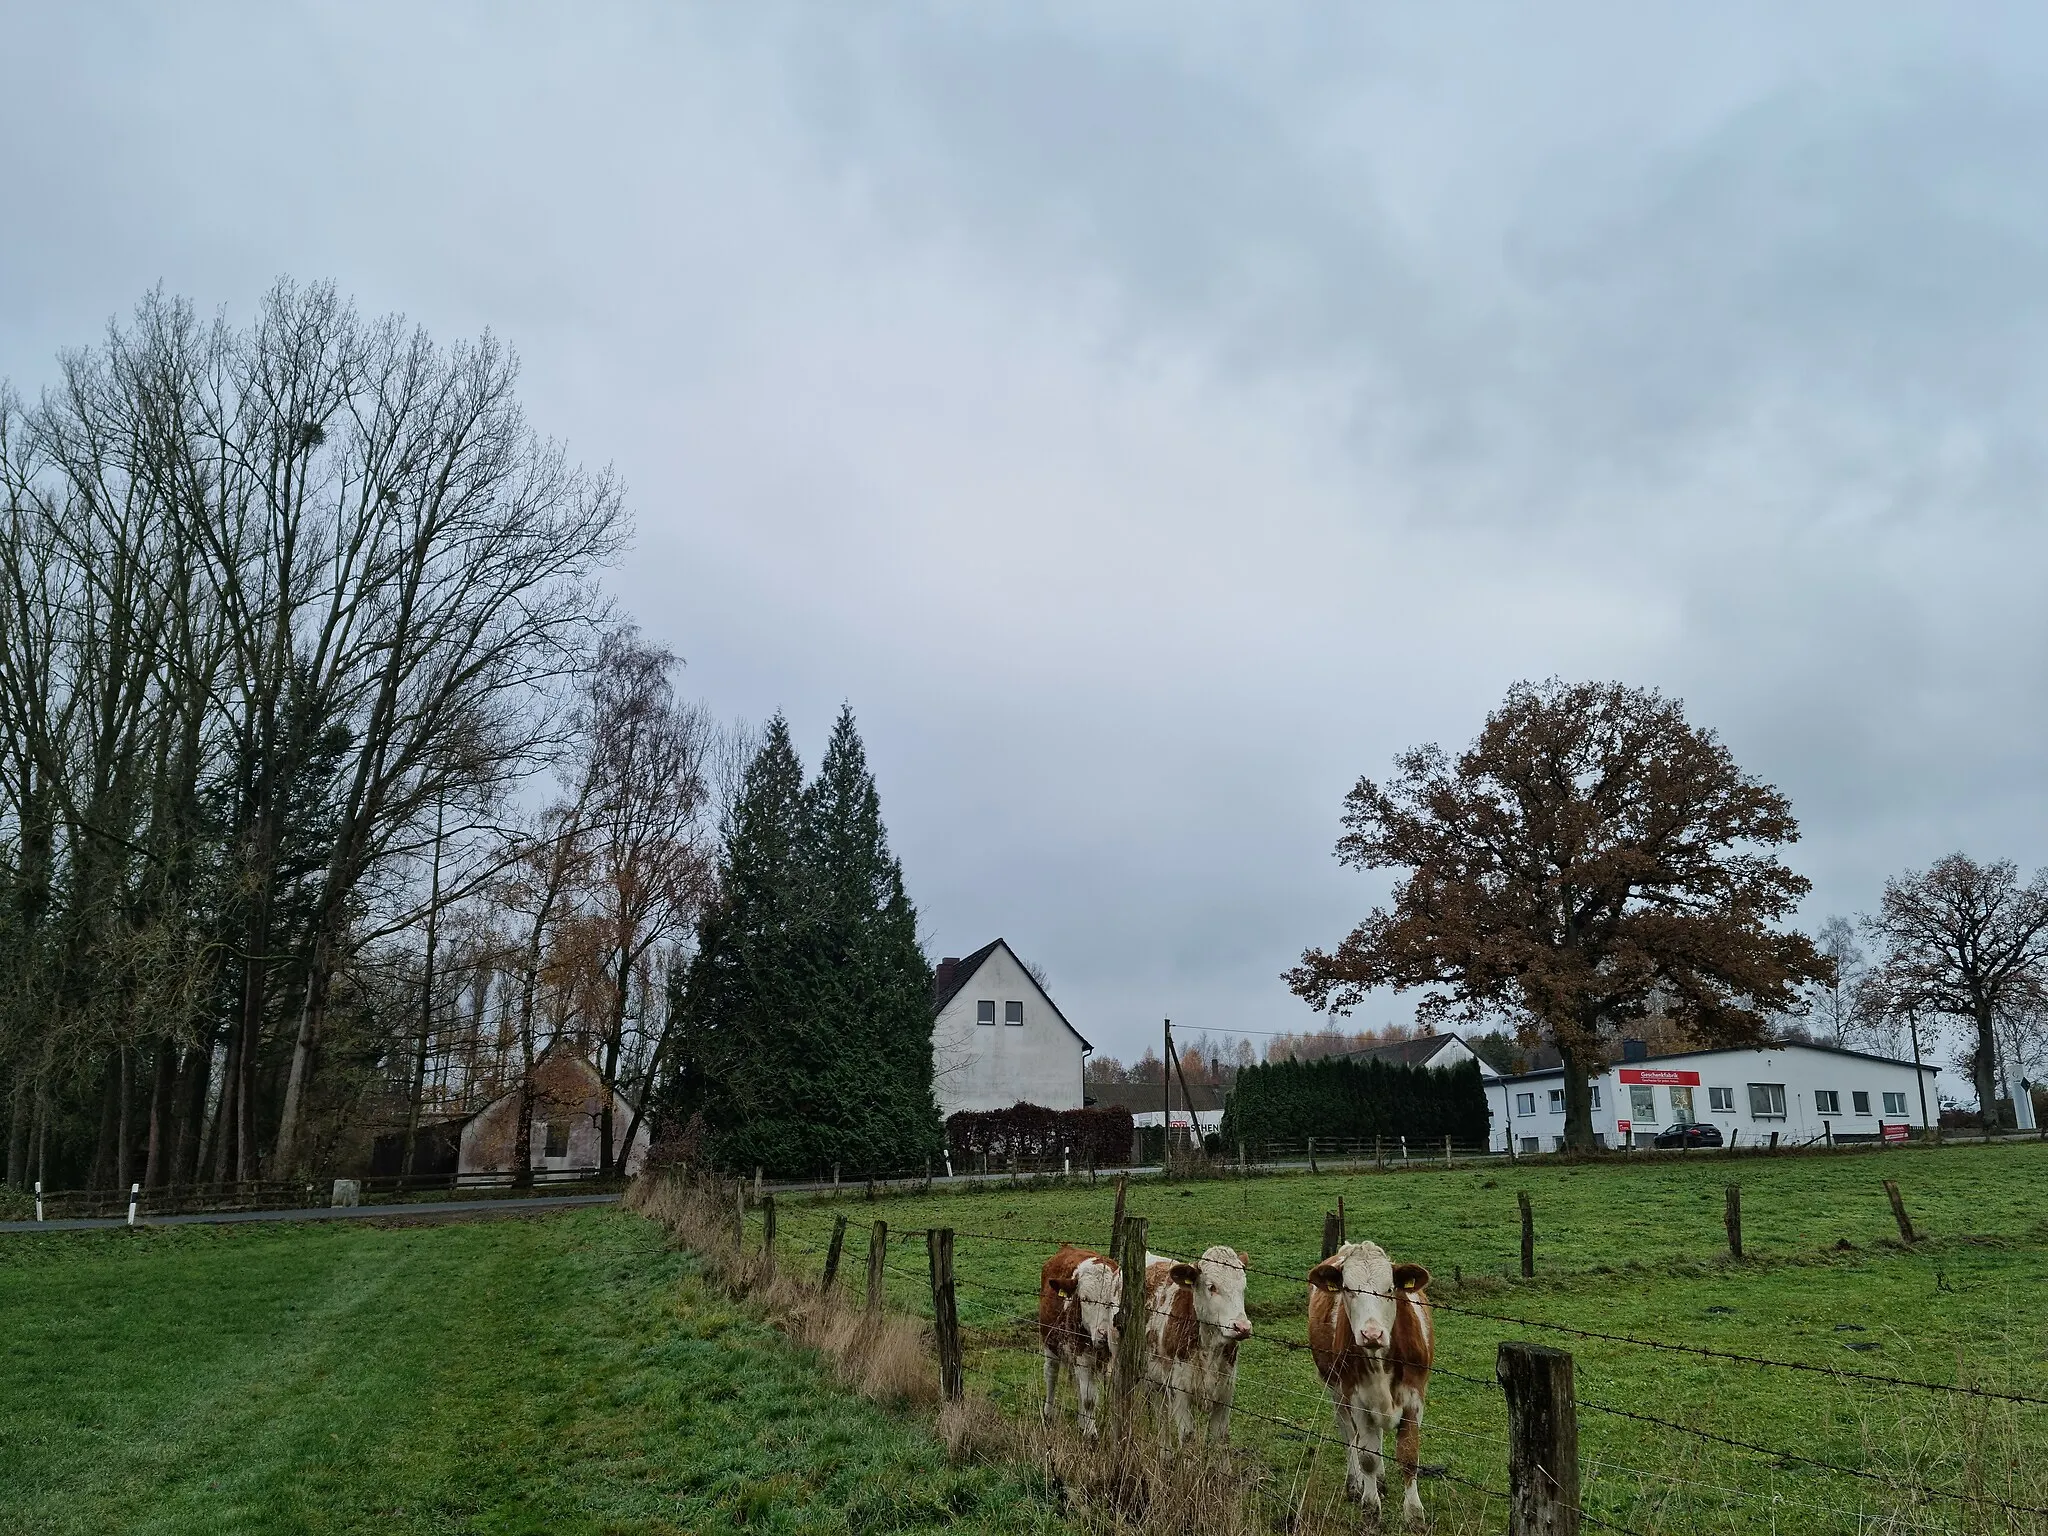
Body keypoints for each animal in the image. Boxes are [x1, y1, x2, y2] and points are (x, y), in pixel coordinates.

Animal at [1040, 1245, 1122, 1449]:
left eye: (1113, 1302)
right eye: (1085, 1299)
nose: (1103, 1335)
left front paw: (1088, 1427)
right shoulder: (1081, 1357)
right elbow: (1089, 1399)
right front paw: (1092, 1436)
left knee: (1079, 1385)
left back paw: (1081, 1423)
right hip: (1050, 1344)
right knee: (1051, 1375)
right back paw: (1048, 1415)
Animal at [1146, 1245, 1253, 1449]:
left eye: (1243, 1287)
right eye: (1212, 1287)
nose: (1242, 1327)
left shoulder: (1225, 1396)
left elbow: (1221, 1438)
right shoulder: (1180, 1393)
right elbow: (1187, 1437)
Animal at [1302, 1245, 1433, 1523]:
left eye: (1390, 1289)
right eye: (1348, 1289)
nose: (1371, 1334)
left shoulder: (1414, 1397)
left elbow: (1409, 1455)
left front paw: (1415, 1514)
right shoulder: (1357, 1398)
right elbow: (1367, 1456)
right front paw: (1370, 1508)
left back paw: (1380, 1481)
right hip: (1337, 1390)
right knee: (1350, 1434)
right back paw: (1355, 1484)